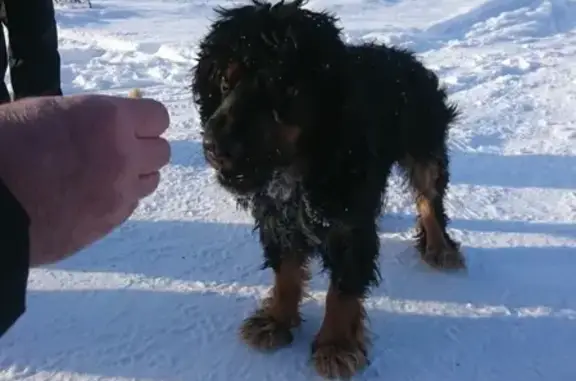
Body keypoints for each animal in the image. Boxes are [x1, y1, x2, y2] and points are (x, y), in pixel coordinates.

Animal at [191, 1, 466, 378]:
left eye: (281, 88)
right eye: (223, 81)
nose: (214, 146)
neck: (298, 169)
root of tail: (408, 59)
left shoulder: (349, 224)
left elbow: (343, 288)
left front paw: (336, 345)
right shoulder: (278, 217)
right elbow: (286, 271)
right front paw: (276, 321)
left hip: (425, 145)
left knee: (429, 200)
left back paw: (440, 248)